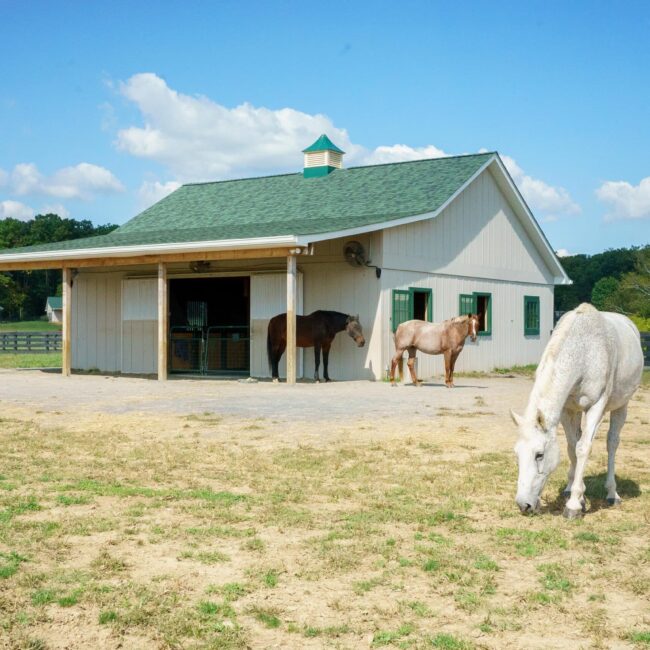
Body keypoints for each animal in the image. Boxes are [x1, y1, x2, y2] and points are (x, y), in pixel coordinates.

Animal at [512, 303, 643, 519]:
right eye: (517, 454)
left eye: (539, 455)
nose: (524, 505)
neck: (584, 351)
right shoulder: (567, 410)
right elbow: (572, 448)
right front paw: (578, 496)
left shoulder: (596, 406)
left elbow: (583, 448)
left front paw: (573, 505)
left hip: (621, 406)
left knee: (612, 442)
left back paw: (612, 493)